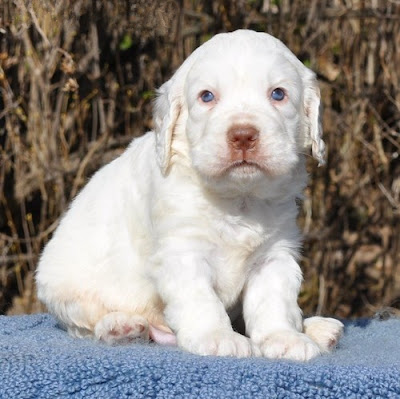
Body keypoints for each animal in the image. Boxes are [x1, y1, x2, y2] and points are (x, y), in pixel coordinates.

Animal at [36, 29, 342, 360]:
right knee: (85, 323)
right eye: (207, 96)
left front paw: (284, 338)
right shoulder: (182, 250)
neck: (239, 198)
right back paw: (121, 326)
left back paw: (319, 329)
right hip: (65, 288)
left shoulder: (274, 255)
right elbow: (200, 298)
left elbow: (275, 301)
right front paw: (217, 337)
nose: (243, 135)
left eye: (278, 94)